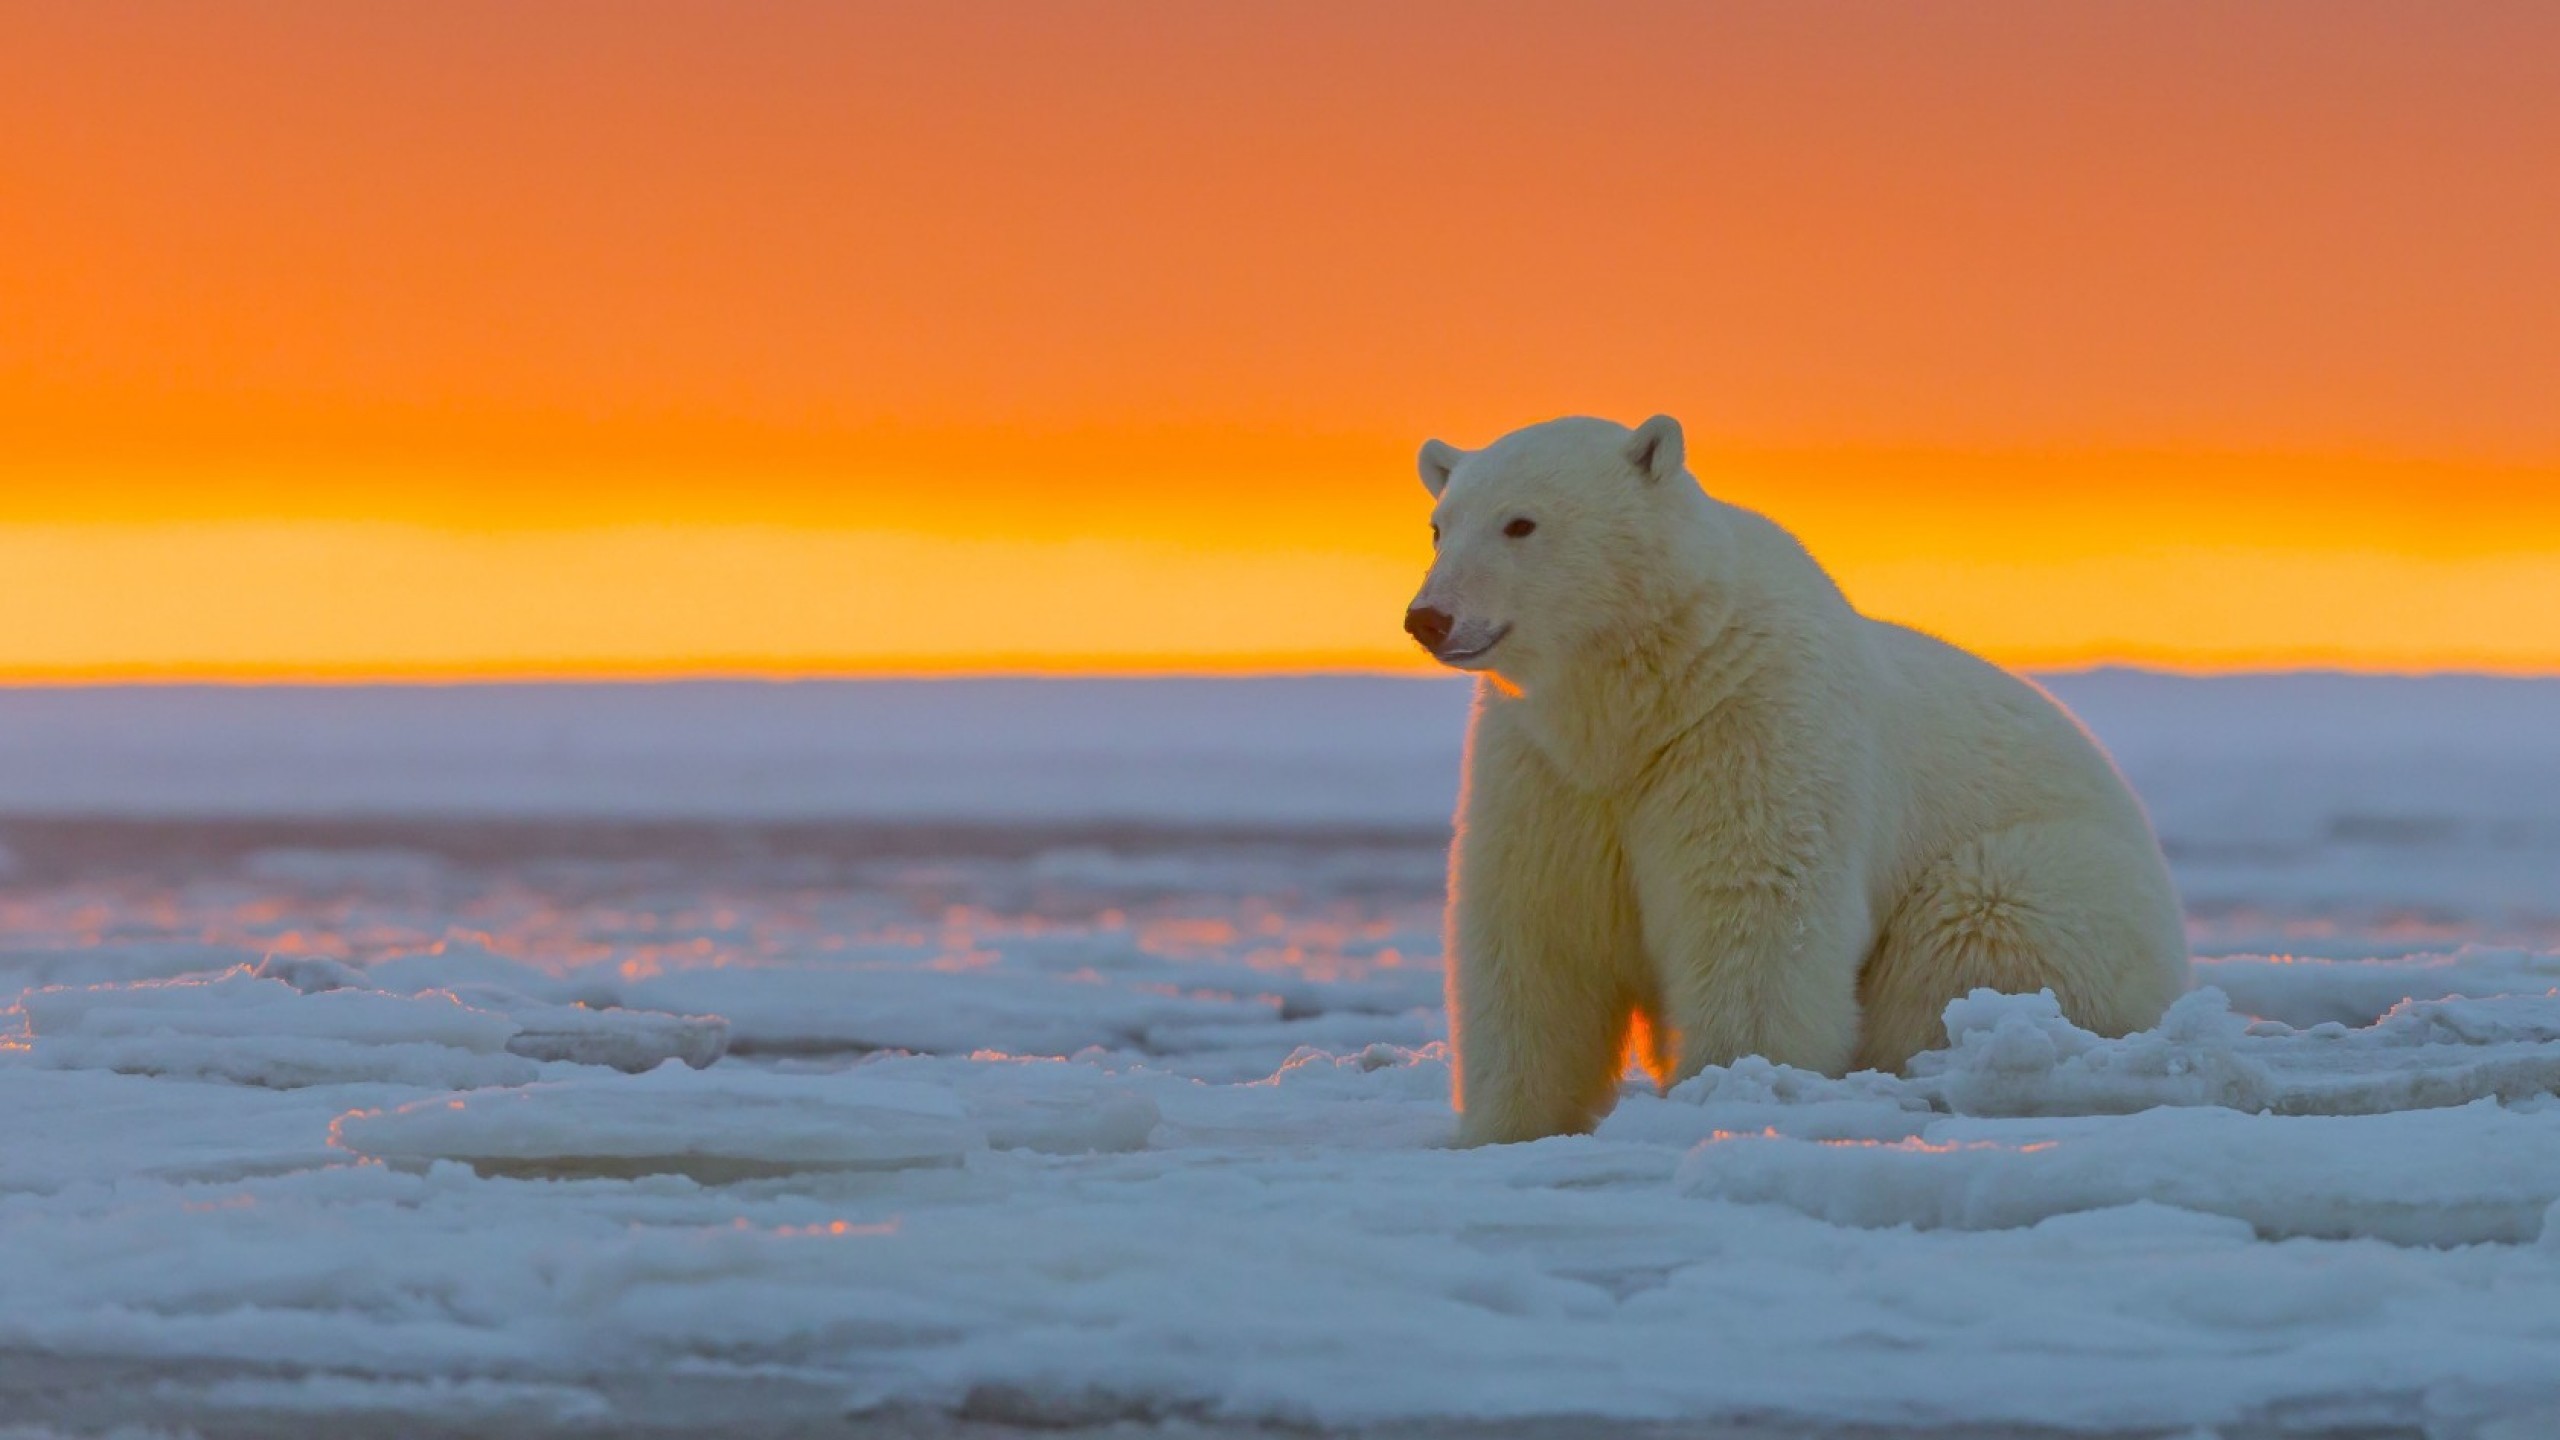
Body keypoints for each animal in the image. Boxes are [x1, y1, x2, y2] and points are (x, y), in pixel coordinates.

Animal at [1405, 414, 2190, 1146]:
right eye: (1440, 526)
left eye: (1521, 522)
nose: (1428, 618)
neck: (1646, 698)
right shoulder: (1545, 768)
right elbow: (1536, 931)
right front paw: (1507, 1126)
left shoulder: (1752, 724)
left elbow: (1753, 912)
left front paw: (1732, 1086)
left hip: (2056, 886)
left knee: (1979, 923)